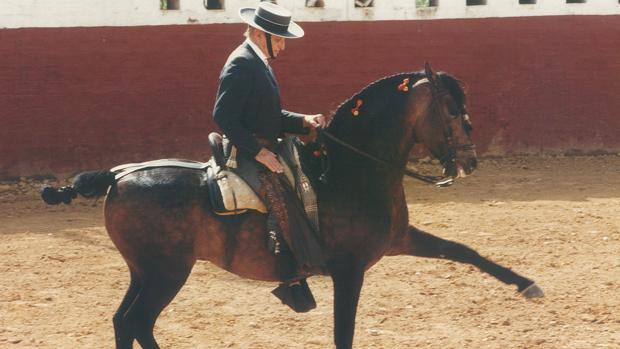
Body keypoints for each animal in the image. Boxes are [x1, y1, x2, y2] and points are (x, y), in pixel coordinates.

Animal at [42, 64, 544, 346]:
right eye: (454, 111)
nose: (469, 161)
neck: (348, 170)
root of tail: (118, 175)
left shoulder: (399, 240)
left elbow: (464, 251)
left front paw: (527, 284)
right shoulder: (349, 270)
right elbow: (344, 334)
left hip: (144, 271)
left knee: (123, 322)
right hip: (167, 272)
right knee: (139, 324)